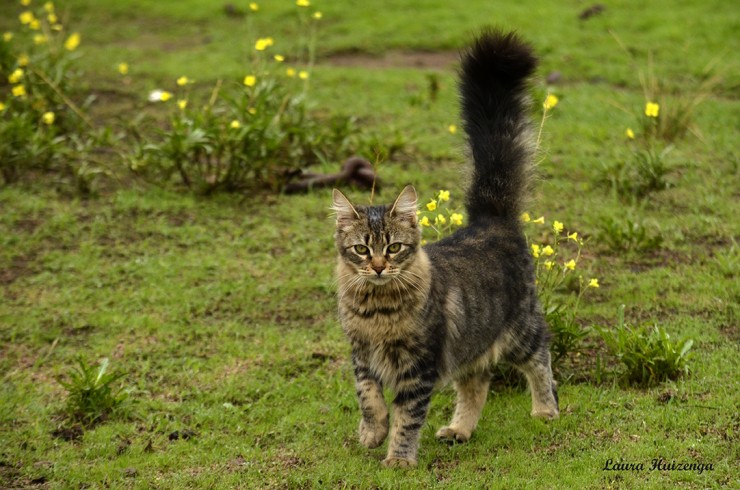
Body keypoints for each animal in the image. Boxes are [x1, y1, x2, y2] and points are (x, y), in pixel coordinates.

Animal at [332, 28, 556, 468]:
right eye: (362, 250)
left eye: (394, 248)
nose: (379, 267)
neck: (377, 310)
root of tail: (490, 219)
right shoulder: (361, 356)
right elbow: (369, 398)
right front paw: (372, 433)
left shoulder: (419, 366)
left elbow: (406, 415)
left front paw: (399, 459)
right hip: (472, 342)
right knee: (476, 385)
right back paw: (459, 430)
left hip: (519, 328)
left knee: (541, 358)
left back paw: (545, 410)